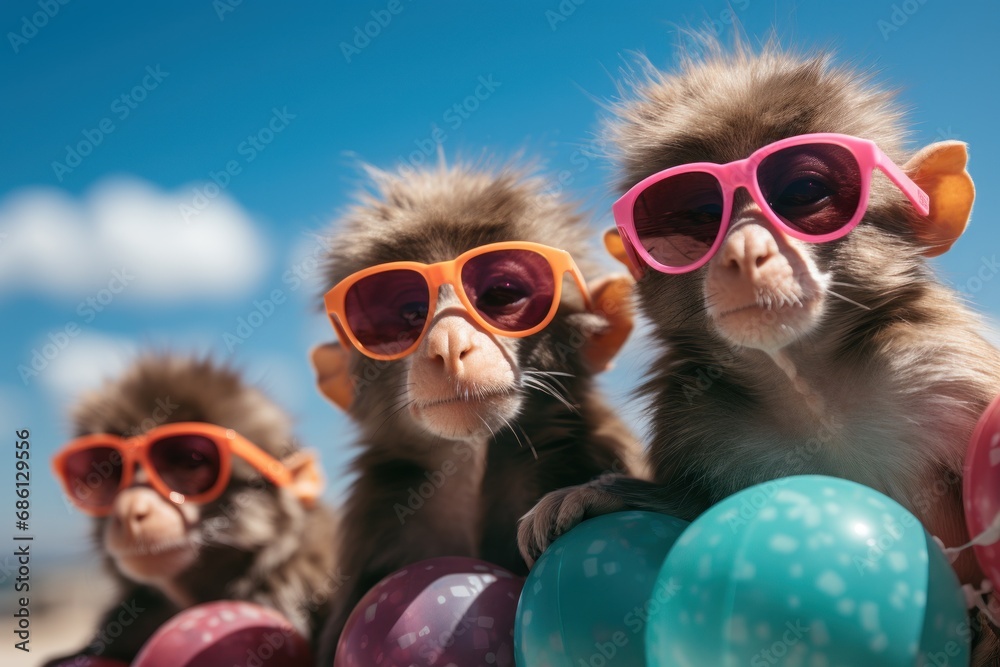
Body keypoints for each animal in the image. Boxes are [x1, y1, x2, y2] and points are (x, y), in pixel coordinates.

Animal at [516, 40, 1000, 664]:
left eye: (804, 193)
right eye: (699, 214)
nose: (744, 252)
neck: (811, 388)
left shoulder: (943, 367)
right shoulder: (699, 419)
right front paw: (598, 496)